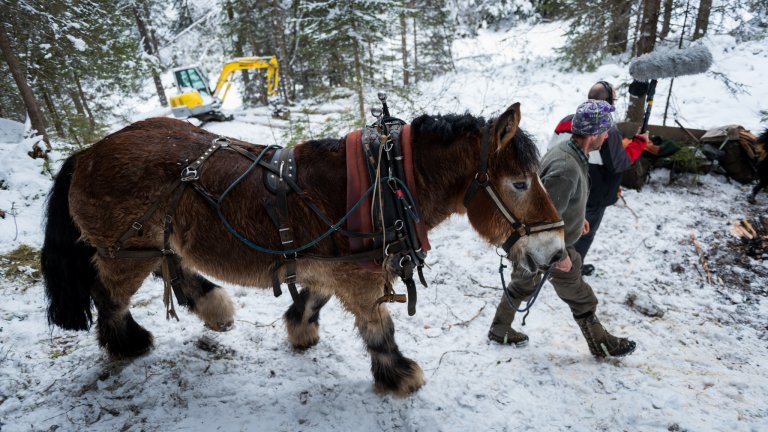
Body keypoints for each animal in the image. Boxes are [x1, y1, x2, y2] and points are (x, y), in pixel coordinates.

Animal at [42, 103, 564, 396]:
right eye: (519, 182)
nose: (557, 252)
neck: (384, 183)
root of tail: (86, 153)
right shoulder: (358, 276)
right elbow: (379, 328)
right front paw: (398, 375)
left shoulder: (332, 266)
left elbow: (315, 298)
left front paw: (300, 329)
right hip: (124, 249)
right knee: (110, 295)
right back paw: (128, 342)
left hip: (152, 242)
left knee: (169, 267)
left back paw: (213, 306)